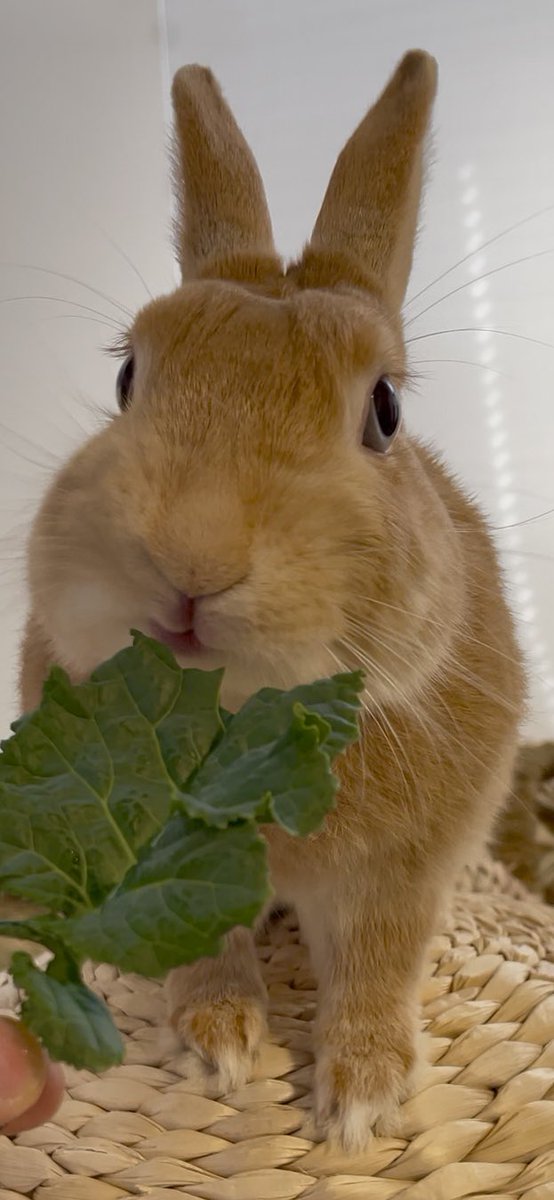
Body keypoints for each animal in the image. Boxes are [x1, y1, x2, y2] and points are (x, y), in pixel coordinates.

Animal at [19, 51, 525, 1149]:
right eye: (128, 377)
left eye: (385, 411)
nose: (190, 557)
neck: (247, 730)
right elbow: (200, 950)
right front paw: (220, 1048)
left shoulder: (399, 875)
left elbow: (376, 968)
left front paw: (361, 1100)